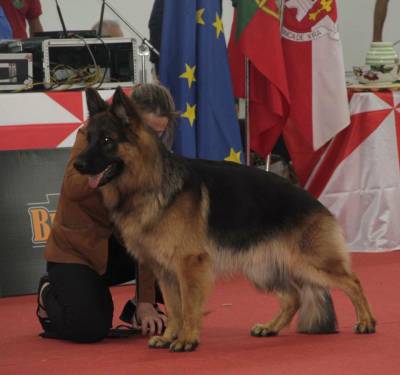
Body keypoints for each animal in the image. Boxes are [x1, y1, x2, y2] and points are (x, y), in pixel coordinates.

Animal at [74, 88, 376, 352]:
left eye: (106, 141)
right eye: (88, 138)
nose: (77, 164)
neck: (150, 182)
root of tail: (314, 200)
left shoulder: (189, 265)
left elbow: (189, 307)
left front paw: (187, 339)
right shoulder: (165, 271)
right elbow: (174, 308)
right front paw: (170, 336)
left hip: (309, 263)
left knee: (353, 282)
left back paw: (366, 321)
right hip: (264, 269)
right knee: (294, 296)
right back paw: (270, 327)